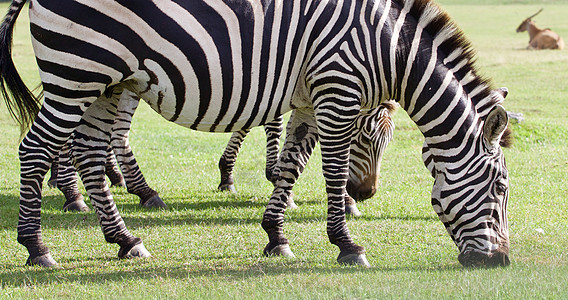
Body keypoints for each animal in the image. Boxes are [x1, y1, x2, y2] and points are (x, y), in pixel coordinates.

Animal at [0, 0, 512, 268]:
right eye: (500, 189)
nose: (501, 260)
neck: (386, 46)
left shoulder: (307, 99)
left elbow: (292, 165)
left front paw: (275, 235)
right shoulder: (337, 90)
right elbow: (330, 170)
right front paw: (347, 244)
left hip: (109, 83)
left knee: (89, 151)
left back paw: (126, 239)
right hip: (79, 73)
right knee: (37, 148)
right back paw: (38, 247)